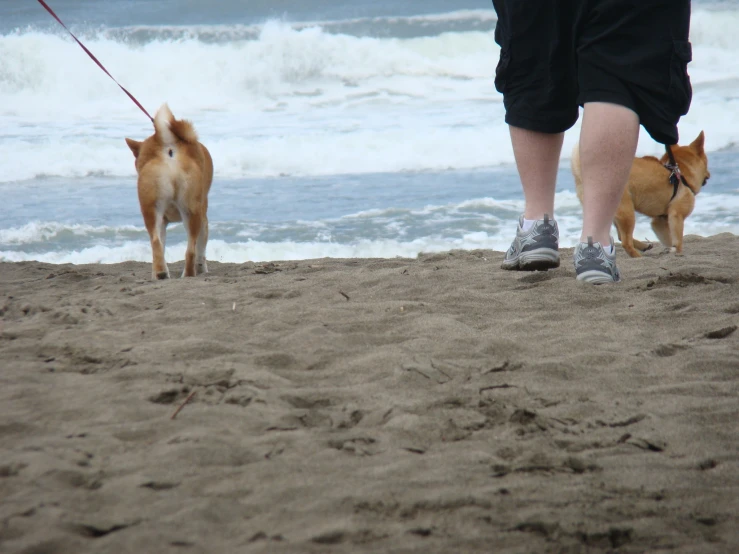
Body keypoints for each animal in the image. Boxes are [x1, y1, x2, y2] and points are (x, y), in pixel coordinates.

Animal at [125, 104, 214, 278]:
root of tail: (170, 148)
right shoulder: (203, 217)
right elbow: (201, 249)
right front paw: (202, 268)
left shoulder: (163, 220)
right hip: (192, 213)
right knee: (191, 250)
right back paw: (188, 274)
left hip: (152, 211)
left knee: (156, 242)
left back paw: (160, 274)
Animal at [572, 131, 712, 256]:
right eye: (706, 162)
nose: (709, 174)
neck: (680, 173)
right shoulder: (676, 216)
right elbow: (677, 241)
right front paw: (676, 251)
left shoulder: (659, 221)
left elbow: (668, 239)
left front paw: (669, 250)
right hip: (627, 212)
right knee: (625, 242)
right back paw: (637, 256)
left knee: (620, 237)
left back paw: (643, 246)